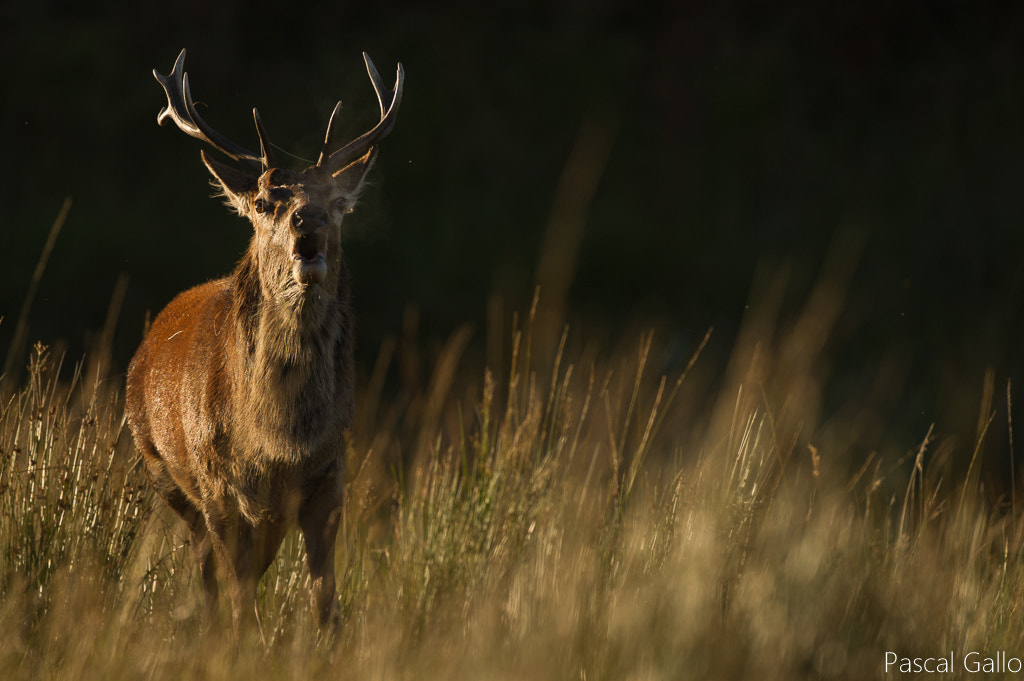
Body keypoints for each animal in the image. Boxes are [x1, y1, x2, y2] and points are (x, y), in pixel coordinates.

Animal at [125, 49, 403, 635]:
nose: (308, 218)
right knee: (210, 577)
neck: (277, 445)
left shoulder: (328, 480)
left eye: (338, 200)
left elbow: (327, 605)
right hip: (167, 477)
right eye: (261, 202)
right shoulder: (220, 491)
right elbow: (240, 605)